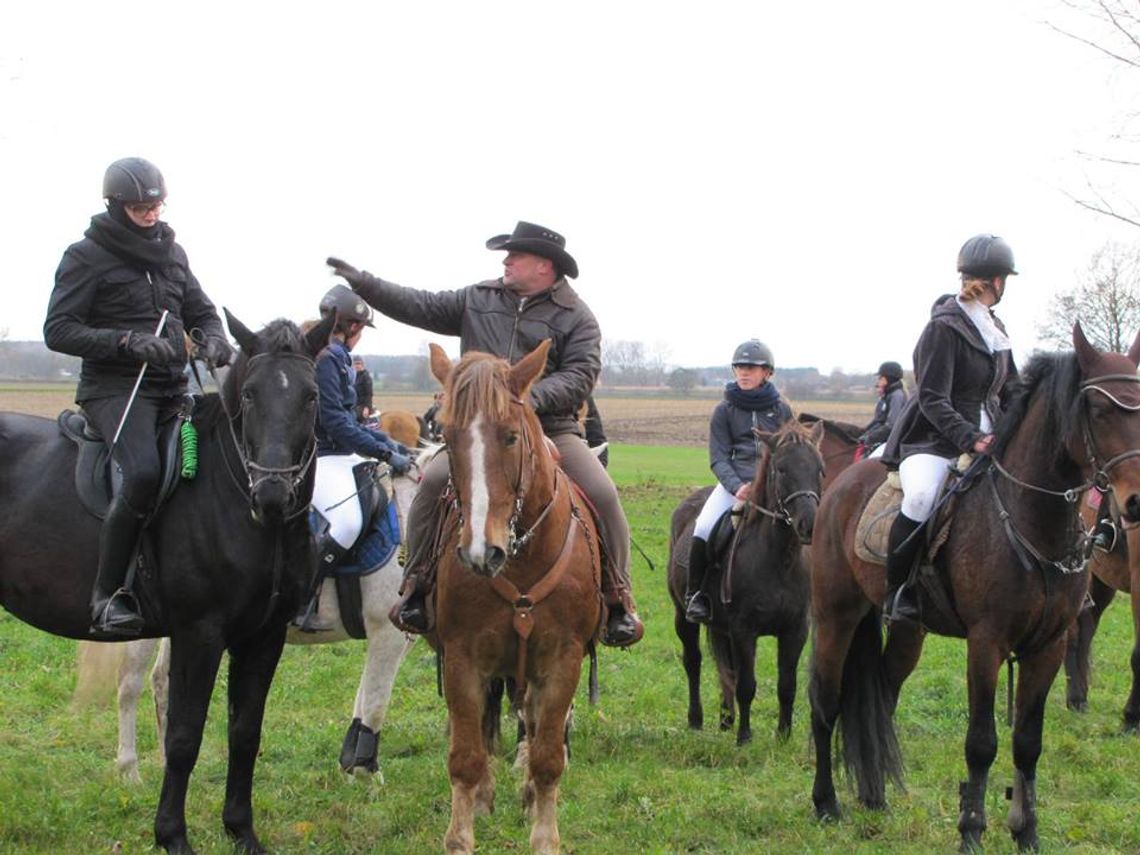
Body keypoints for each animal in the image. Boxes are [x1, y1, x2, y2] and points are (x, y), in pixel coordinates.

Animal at [0, 314, 330, 855]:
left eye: (311, 395)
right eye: (249, 395)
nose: (273, 495)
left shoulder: (264, 637)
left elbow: (245, 732)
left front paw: (241, 831)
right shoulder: (199, 634)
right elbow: (183, 736)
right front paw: (172, 834)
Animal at [428, 337, 606, 852]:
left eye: (510, 436)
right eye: (447, 436)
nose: (479, 552)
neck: (520, 558)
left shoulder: (563, 659)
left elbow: (549, 757)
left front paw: (544, 834)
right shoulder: (463, 658)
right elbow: (466, 756)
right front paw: (461, 835)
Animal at [665, 419, 825, 743]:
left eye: (819, 468)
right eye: (781, 469)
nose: (809, 524)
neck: (779, 560)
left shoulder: (795, 631)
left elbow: (786, 686)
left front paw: (783, 736)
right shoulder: (744, 630)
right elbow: (746, 684)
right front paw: (745, 737)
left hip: (721, 626)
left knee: (724, 667)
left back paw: (726, 719)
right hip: (683, 615)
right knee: (694, 662)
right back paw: (697, 719)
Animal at [807, 323, 1140, 852]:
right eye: (1099, 409)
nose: (1134, 503)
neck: (1032, 518)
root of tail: (842, 484)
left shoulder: (1048, 645)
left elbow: (1028, 743)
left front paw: (1027, 833)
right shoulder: (987, 643)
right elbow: (982, 744)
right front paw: (971, 830)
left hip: (908, 632)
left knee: (882, 693)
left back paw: (874, 796)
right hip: (835, 616)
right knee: (826, 701)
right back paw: (826, 803)